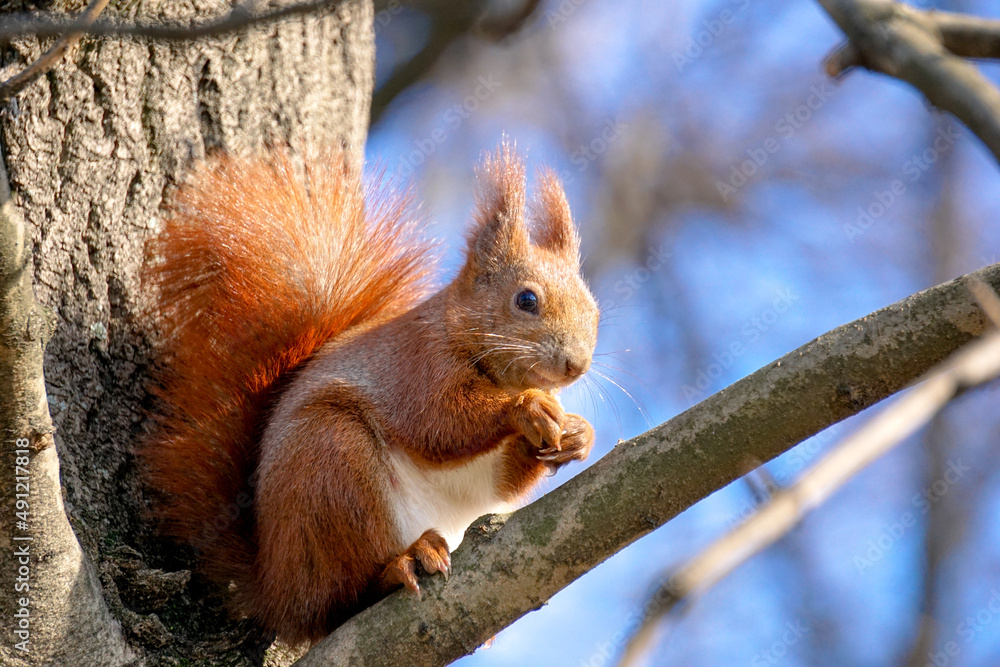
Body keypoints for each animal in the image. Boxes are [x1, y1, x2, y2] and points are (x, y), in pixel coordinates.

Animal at [139, 143, 599, 646]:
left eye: (594, 309)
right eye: (526, 300)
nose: (576, 365)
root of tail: (275, 591)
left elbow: (502, 480)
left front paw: (578, 435)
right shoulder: (415, 366)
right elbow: (442, 424)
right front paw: (527, 407)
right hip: (333, 463)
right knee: (340, 599)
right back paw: (401, 565)